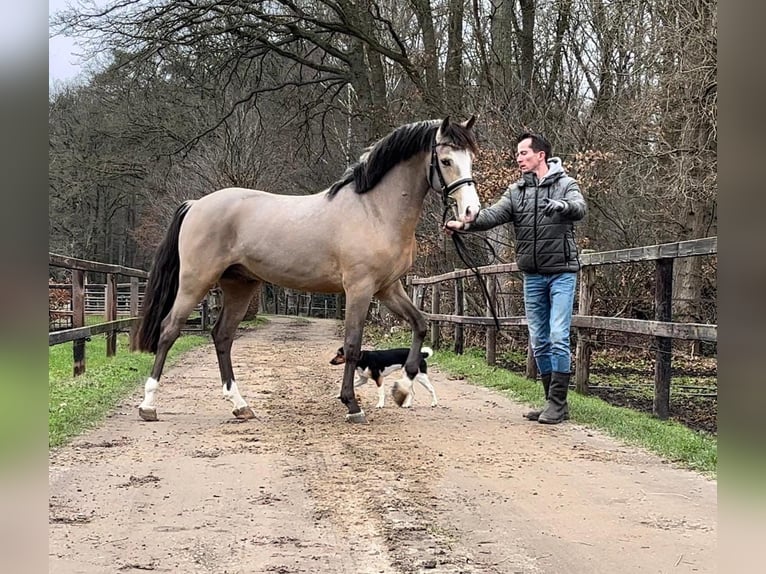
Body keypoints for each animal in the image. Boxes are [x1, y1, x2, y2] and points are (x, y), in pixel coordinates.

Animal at [131, 117, 480, 426]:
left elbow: (420, 325)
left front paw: (402, 389)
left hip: (239, 285)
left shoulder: (388, 288)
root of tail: (195, 204)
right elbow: (352, 345)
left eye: (471, 159)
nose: (470, 211)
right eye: (446, 160)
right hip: (195, 281)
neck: (374, 211)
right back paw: (148, 406)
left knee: (222, 336)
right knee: (169, 329)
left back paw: (240, 405)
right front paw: (352, 405)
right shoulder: (360, 289)